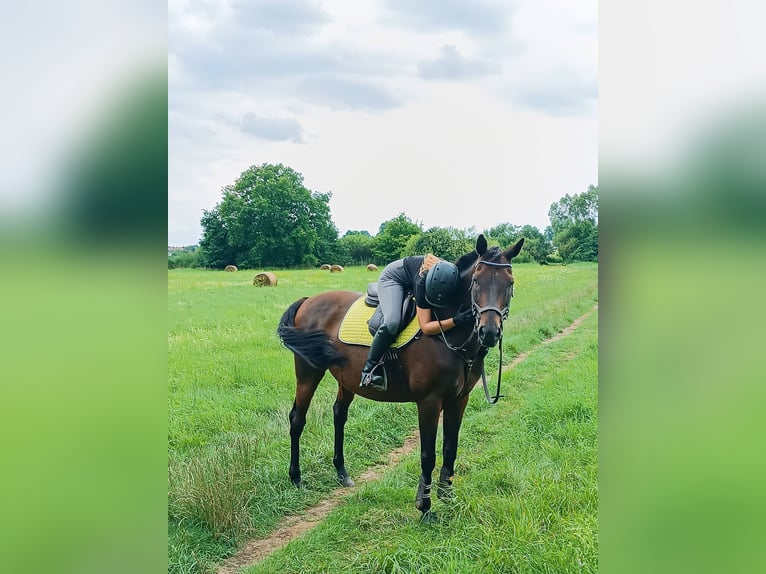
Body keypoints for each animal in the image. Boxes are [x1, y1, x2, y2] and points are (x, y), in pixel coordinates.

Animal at [276, 234, 524, 516]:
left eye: (510, 283)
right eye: (476, 281)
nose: (489, 332)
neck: (447, 334)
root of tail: (308, 300)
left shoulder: (459, 400)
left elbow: (450, 448)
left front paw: (448, 496)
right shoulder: (429, 401)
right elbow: (428, 455)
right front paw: (424, 506)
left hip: (345, 379)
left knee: (339, 415)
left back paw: (341, 471)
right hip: (308, 371)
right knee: (297, 419)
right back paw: (296, 477)